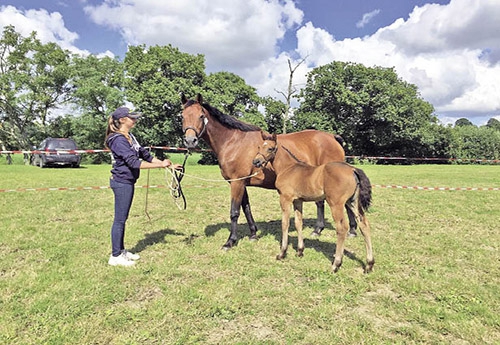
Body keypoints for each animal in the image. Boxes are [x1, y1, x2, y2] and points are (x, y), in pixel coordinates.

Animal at [181, 94, 352, 249]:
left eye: (201, 115)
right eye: (182, 116)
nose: (190, 141)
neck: (233, 142)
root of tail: (333, 138)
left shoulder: (237, 183)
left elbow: (234, 211)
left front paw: (230, 241)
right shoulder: (242, 183)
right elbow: (246, 208)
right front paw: (253, 234)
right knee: (321, 203)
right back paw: (318, 230)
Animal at [252, 132, 374, 272]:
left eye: (270, 148)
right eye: (259, 147)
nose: (256, 161)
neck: (288, 168)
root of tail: (353, 170)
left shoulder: (285, 199)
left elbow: (285, 224)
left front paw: (282, 253)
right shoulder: (298, 201)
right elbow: (298, 223)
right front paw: (300, 251)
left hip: (336, 204)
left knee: (342, 228)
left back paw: (336, 264)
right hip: (353, 202)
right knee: (364, 225)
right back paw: (369, 264)